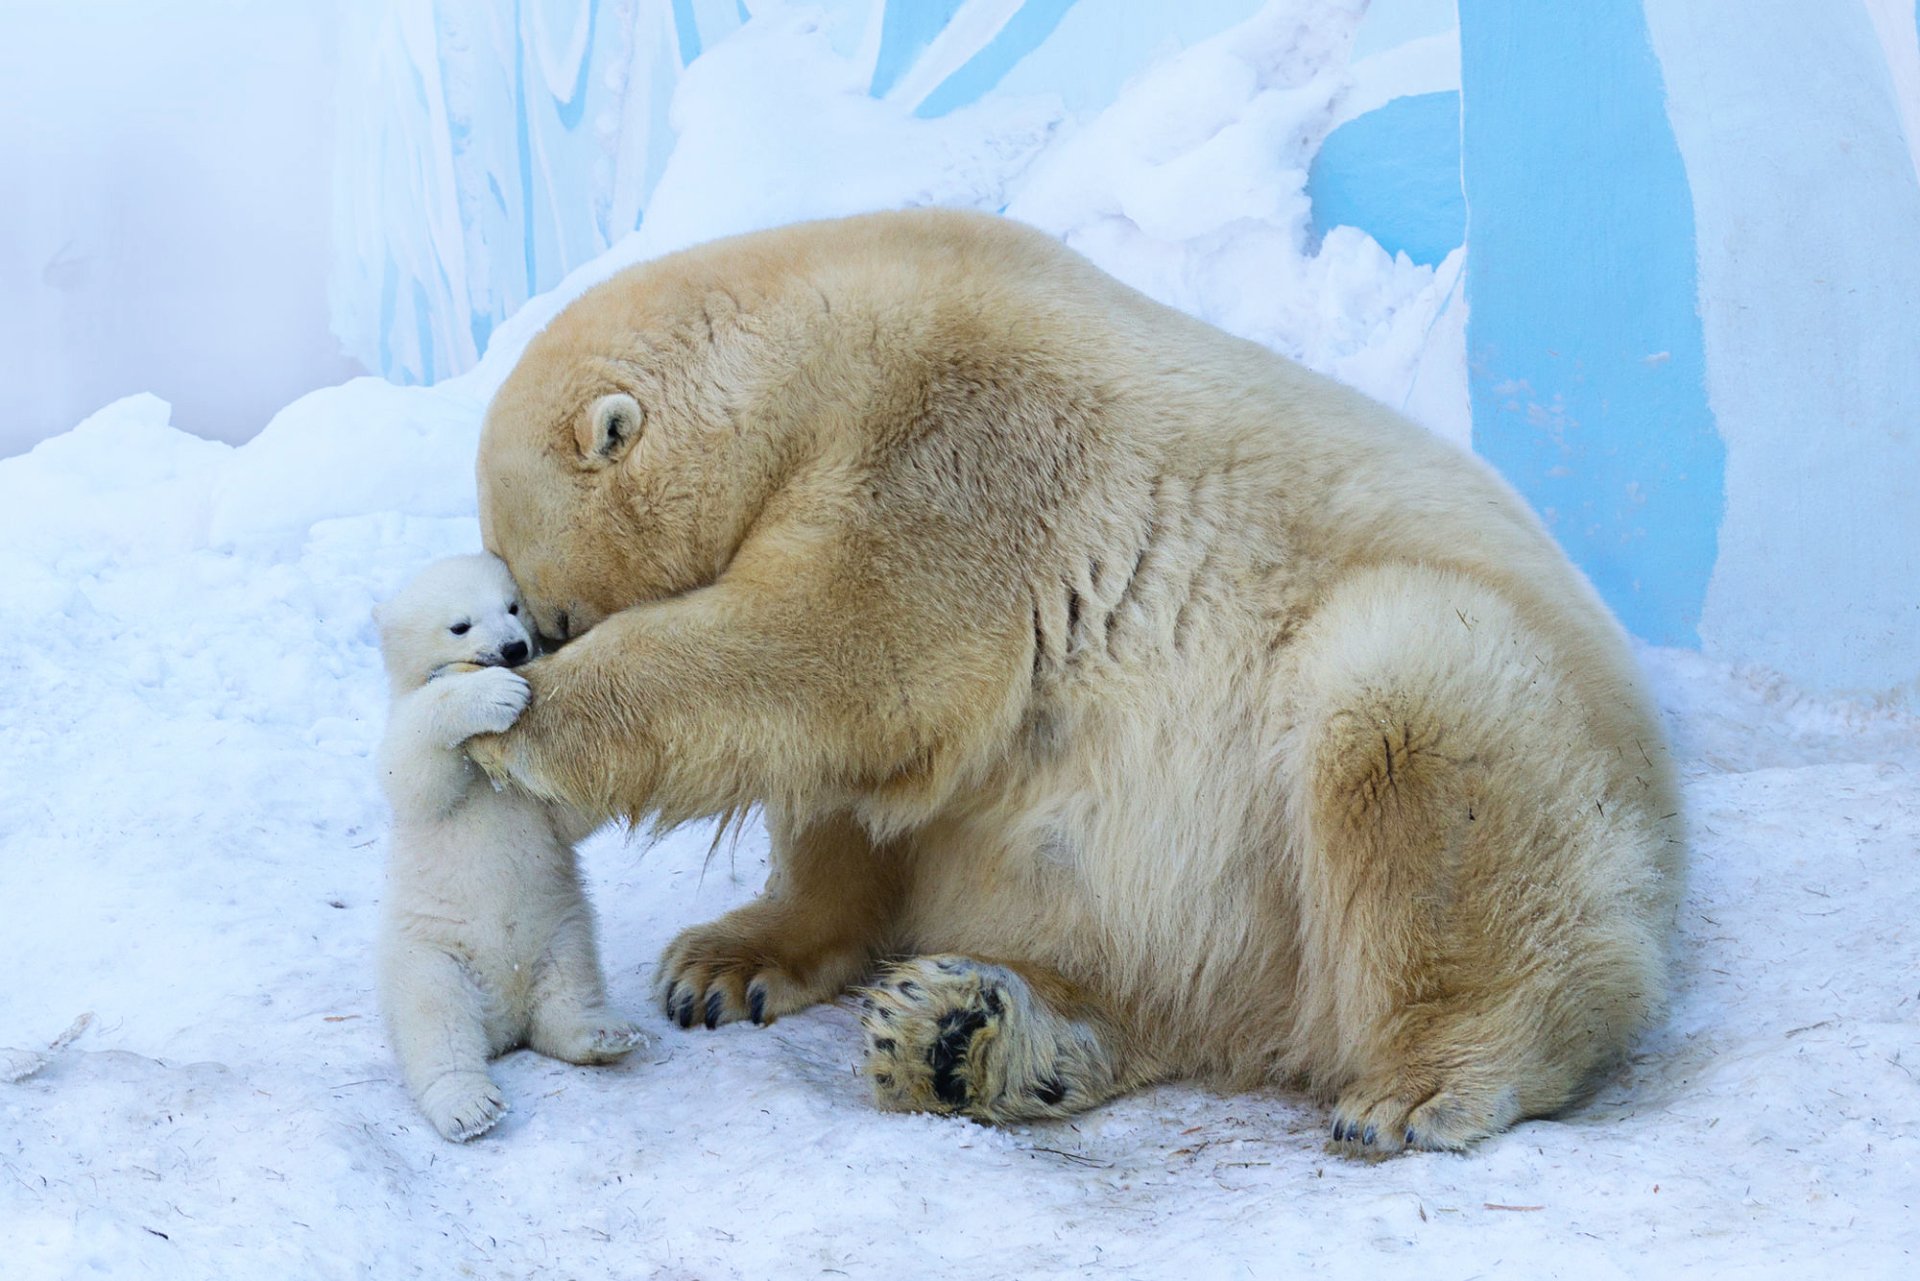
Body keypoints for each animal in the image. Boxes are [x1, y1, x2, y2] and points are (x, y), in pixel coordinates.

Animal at [373, 553, 648, 1142]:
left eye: (513, 606)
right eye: (460, 625)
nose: (515, 649)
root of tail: (504, 1024)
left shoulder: (533, 802)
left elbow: (565, 819)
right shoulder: (410, 737)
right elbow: (413, 772)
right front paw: (496, 695)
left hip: (561, 931)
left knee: (568, 988)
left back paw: (604, 1034)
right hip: (430, 955)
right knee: (437, 1023)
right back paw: (468, 1107)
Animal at [467, 208, 1684, 1156]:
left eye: (547, 611)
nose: (524, 642)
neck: (823, 346)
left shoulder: (961, 448)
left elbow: (839, 653)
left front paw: (514, 728)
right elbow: (860, 785)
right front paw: (725, 964)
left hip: (1496, 726)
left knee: (1411, 720)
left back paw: (1425, 1080)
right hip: (1214, 922)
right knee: (1145, 979)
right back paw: (965, 1038)